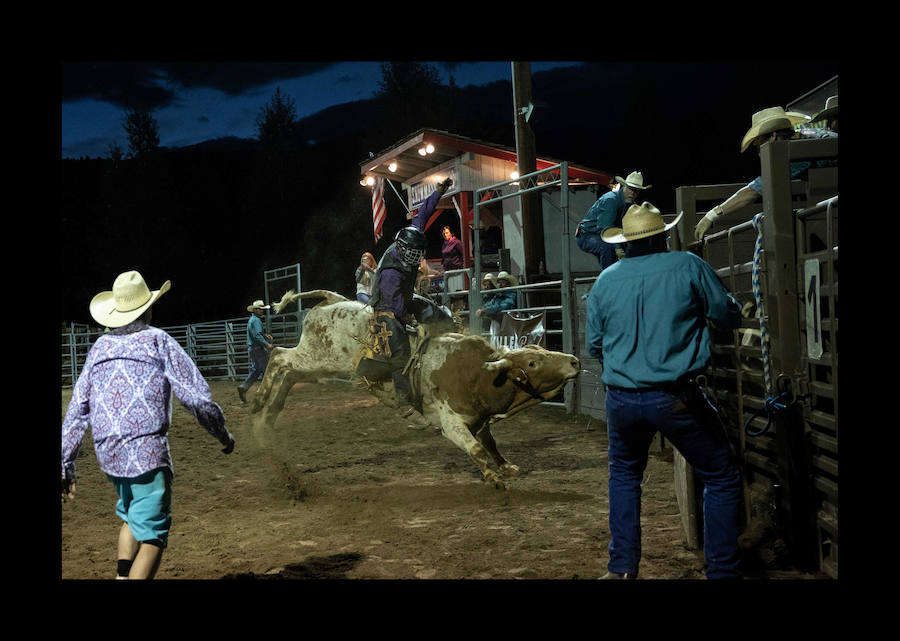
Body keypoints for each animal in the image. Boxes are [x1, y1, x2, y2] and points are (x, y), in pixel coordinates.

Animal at [250, 288, 580, 488]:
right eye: (533, 362)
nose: (575, 361)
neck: (477, 374)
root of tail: (330, 299)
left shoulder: (480, 419)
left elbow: (490, 443)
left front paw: (506, 466)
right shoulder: (451, 422)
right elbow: (475, 447)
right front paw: (493, 477)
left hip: (323, 364)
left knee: (290, 374)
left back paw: (268, 417)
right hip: (320, 355)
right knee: (279, 357)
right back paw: (257, 403)